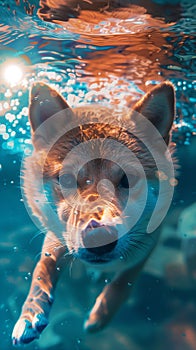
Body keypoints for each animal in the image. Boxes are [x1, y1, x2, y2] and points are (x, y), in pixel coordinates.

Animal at [11, 81, 175, 344]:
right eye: (67, 179)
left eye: (128, 179)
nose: (99, 237)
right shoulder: (56, 235)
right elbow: (41, 271)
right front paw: (30, 314)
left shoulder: (150, 239)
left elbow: (124, 281)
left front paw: (101, 316)